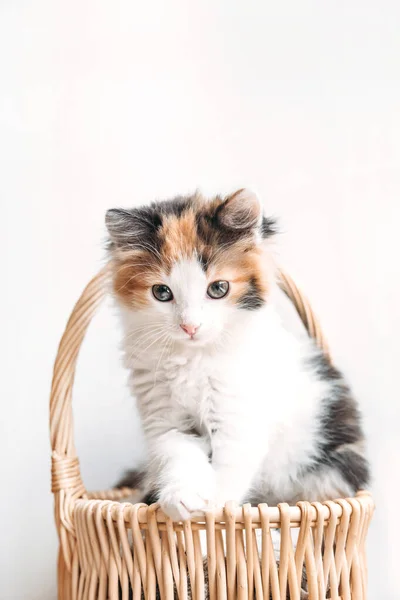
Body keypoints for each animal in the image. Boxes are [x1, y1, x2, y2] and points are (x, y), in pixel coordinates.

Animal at [105, 189, 368, 520]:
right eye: (161, 293)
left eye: (218, 288)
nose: (190, 326)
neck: (194, 357)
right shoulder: (165, 417)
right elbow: (179, 455)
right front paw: (181, 499)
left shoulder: (238, 418)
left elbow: (227, 469)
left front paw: (211, 517)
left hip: (326, 465)